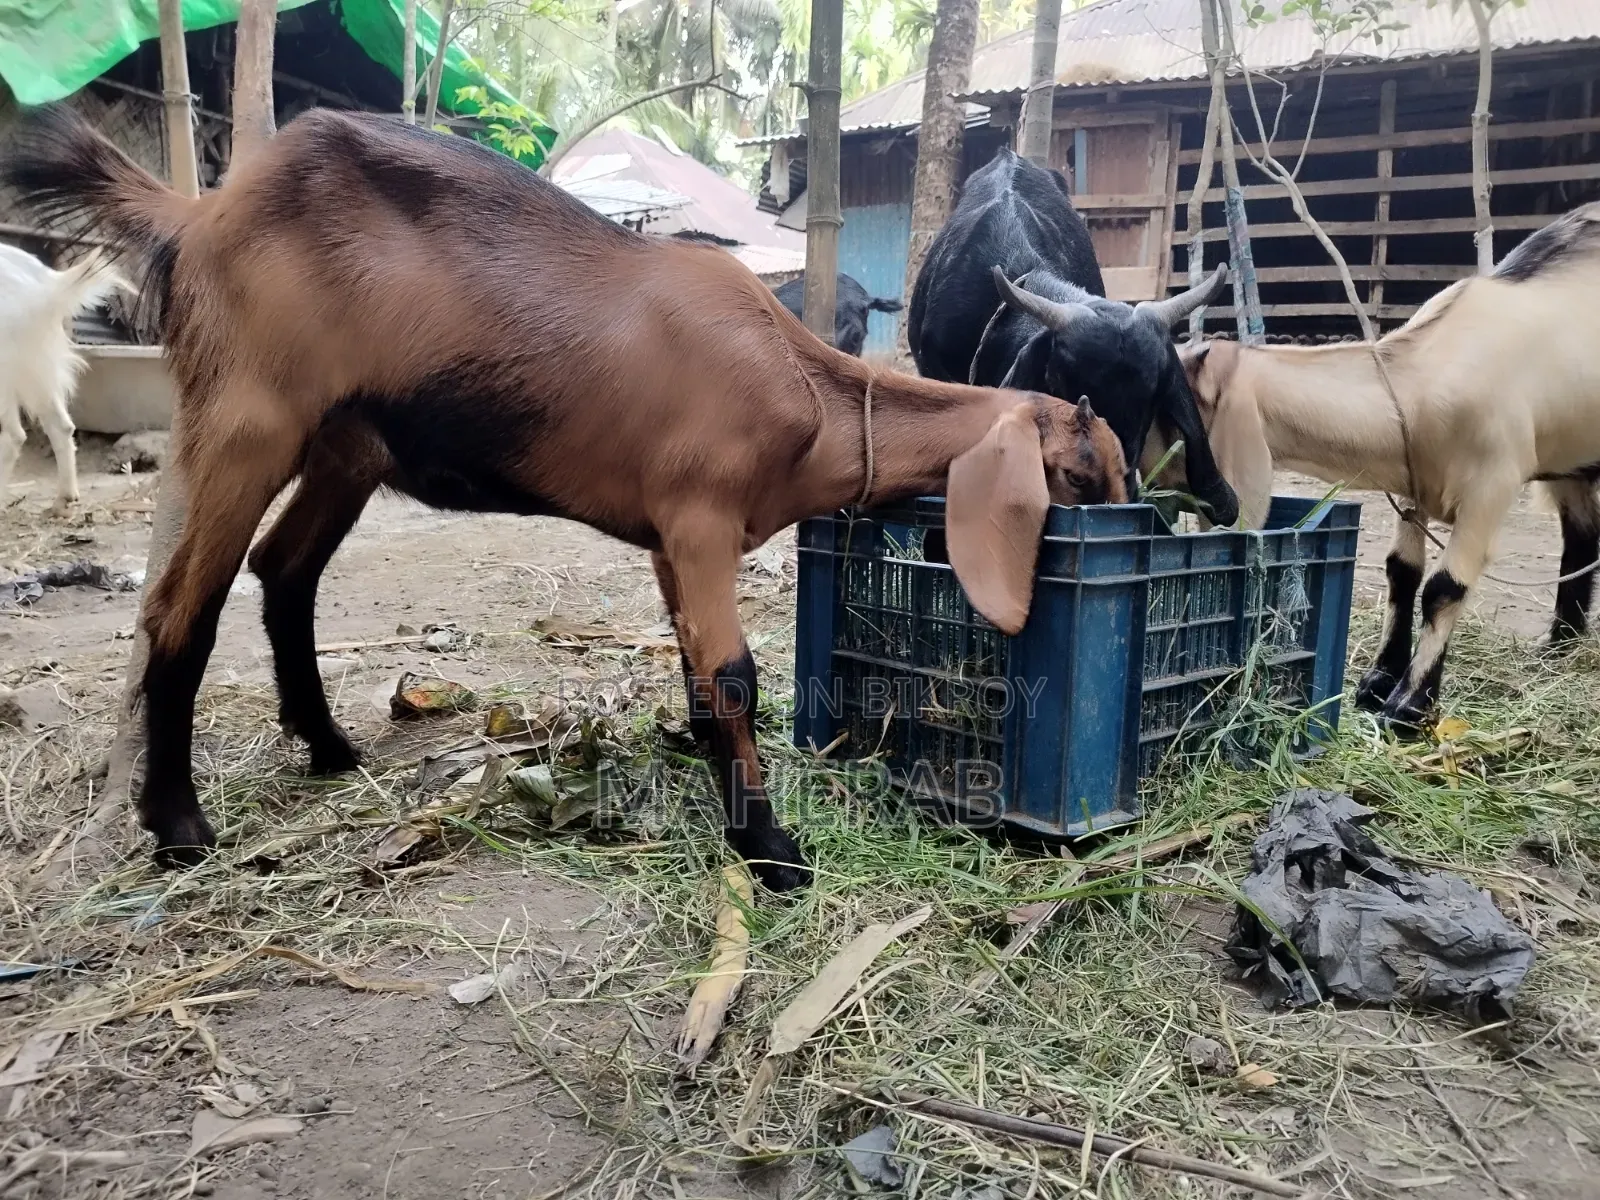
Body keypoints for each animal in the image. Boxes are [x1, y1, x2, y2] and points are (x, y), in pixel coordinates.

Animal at [1172, 203, 1600, 732]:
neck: (1425, 371)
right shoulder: (1414, 482)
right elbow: (1402, 572)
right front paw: (1378, 679)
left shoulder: (1492, 485)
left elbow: (1443, 587)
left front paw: (1409, 703)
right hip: (1572, 463)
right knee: (1581, 535)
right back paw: (1561, 642)